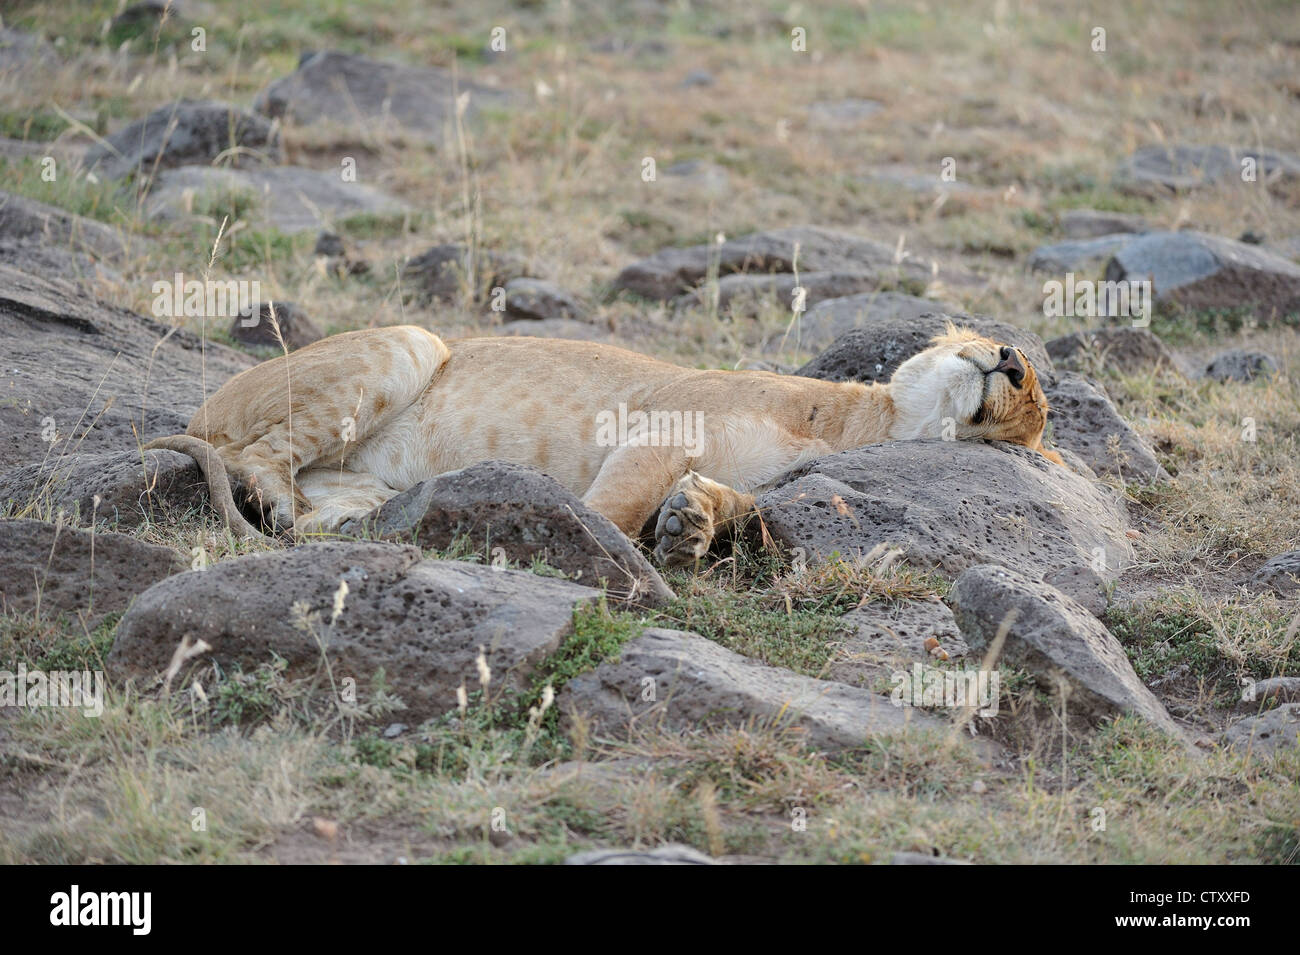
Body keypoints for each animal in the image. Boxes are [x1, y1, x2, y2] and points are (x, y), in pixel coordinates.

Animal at [145, 322, 1061, 566]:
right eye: (1026, 387)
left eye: (1024, 413)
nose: (1011, 360)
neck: (856, 425)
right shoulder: (664, 424)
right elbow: (616, 505)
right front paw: (596, 533)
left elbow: (741, 503)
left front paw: (692, 526)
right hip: (409, 341)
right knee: (256, 455)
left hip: (363, 478)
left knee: (301, 489)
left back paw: (316, 521)